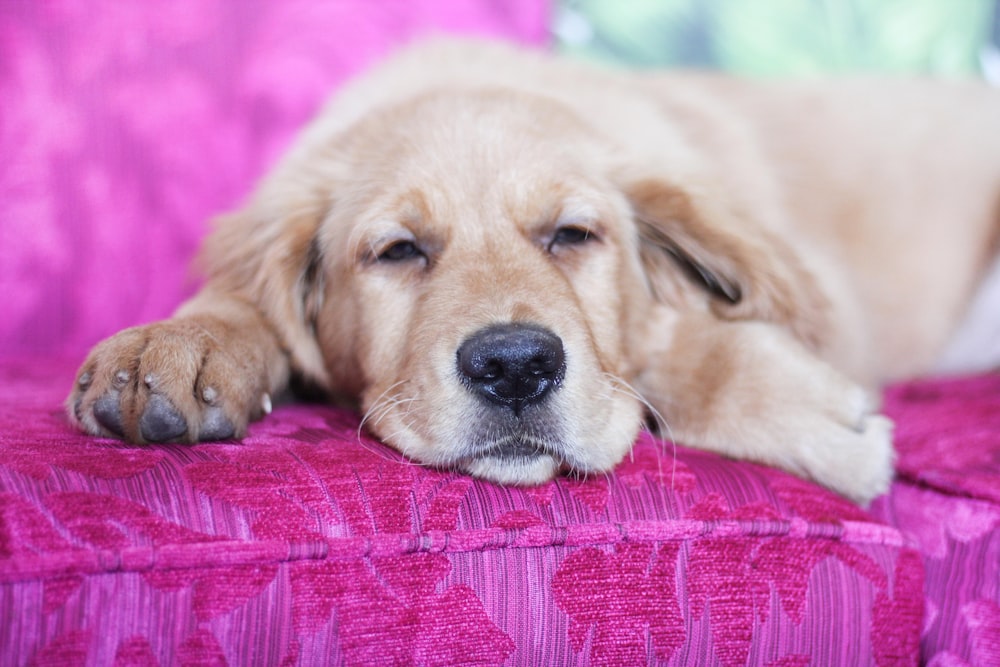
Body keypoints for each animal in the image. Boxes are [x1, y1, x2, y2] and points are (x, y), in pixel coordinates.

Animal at [64, 37, 1000, 506]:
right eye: (399, 250)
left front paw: (804, 413)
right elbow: (242, 295)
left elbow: (652, 346)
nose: (515, 366)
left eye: (572, 235)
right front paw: (180, 343)